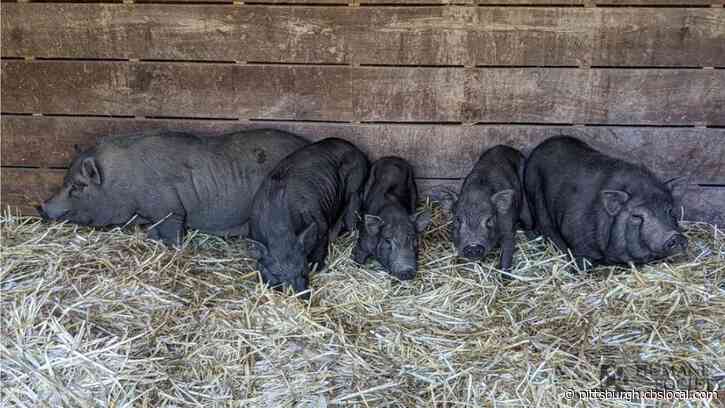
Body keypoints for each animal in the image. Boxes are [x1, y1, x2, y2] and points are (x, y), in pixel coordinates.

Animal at [38, 129, 309, 246]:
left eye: (78, 186)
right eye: (64, 180)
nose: (42, 207)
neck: (122, 182)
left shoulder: (169, 210)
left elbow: (170, 231)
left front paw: (168, 245)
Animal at [246, 138, 369, 297]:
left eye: (303, 269)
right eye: (278, 273)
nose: (302, 295)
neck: (279, 232)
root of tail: (358, 151)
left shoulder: (320, 223)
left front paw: (319, 268)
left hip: (355, 184)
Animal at [433, 145, 531, 275]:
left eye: (489, 220)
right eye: (457, 220)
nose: (473, 245)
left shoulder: (508, 226)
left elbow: (507, 251)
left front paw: (504, 277)